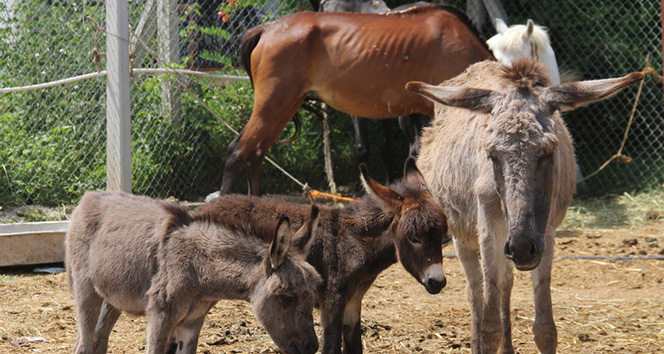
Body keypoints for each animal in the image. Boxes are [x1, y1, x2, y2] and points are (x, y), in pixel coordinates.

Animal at [65, 191, 322, 354]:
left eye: (313, 294)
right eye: (286, 297)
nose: (312, 347)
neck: (199, 271)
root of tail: (88, 197)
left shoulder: (192, 322)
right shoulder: (160, 315)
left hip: (112, 298)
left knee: (97, 342)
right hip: (86, 291)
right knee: (84, 344)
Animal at [195, 159, 448, 352]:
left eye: (444, 237)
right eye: (414, 238)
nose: (438, 282)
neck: (354, 241)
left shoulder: (353, 303)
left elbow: (355, 348)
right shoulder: (332, 303)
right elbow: (332, 347)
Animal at [408, 59, 644, 352]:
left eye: (548, 151)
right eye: (492, 154)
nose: (522, 247)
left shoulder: (546, 233)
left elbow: (545, 328)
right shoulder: (489, 232)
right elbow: (490, 328)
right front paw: (485, 338)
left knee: (505, 284)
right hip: (463, 235)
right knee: (475, 290)